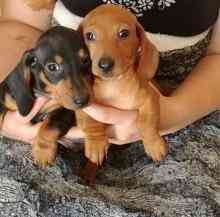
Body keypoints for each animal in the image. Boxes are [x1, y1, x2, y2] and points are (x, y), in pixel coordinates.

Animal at [0, 25, 91, 168]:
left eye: (85, 60)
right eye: (52, 67)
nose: (84, 101)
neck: (42, 92)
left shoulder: (65, 111)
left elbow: (50, 126)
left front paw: (43, 151)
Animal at [80, 5, 168, 167]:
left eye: (124, 34)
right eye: (89, 36)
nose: (105, 65)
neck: (113, 85)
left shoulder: (150, 98)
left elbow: (147, 122)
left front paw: (154, 144)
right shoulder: (83, 105)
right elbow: (91, 122)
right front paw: (96, 143)